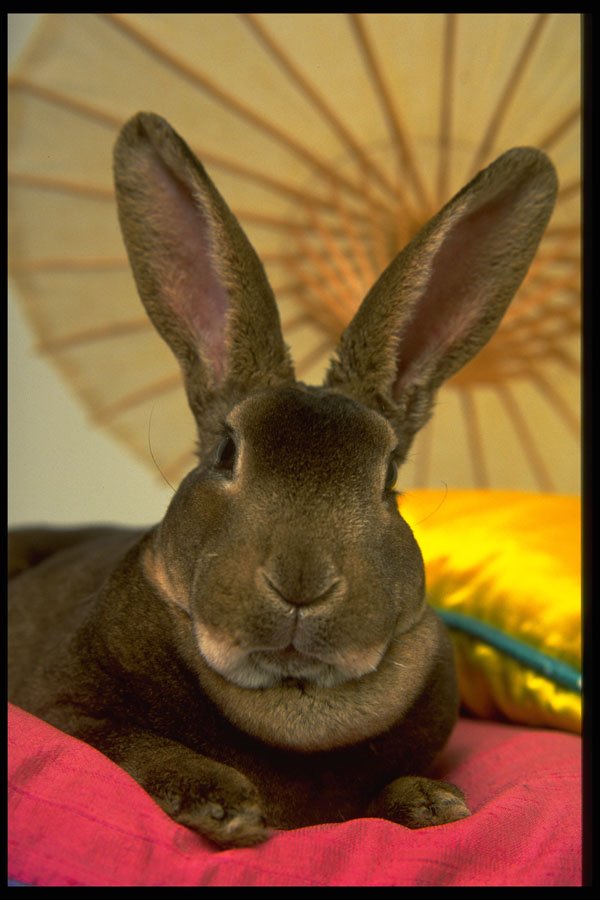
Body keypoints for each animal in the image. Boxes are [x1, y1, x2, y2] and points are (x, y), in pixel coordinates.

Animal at [8, 112, 557, 849]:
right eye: (226, 452)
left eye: (388, 478)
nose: (302, 582)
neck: (292, 696)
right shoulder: (61, 709)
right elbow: (128, 747)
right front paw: (224, 803)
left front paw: (434, 802)